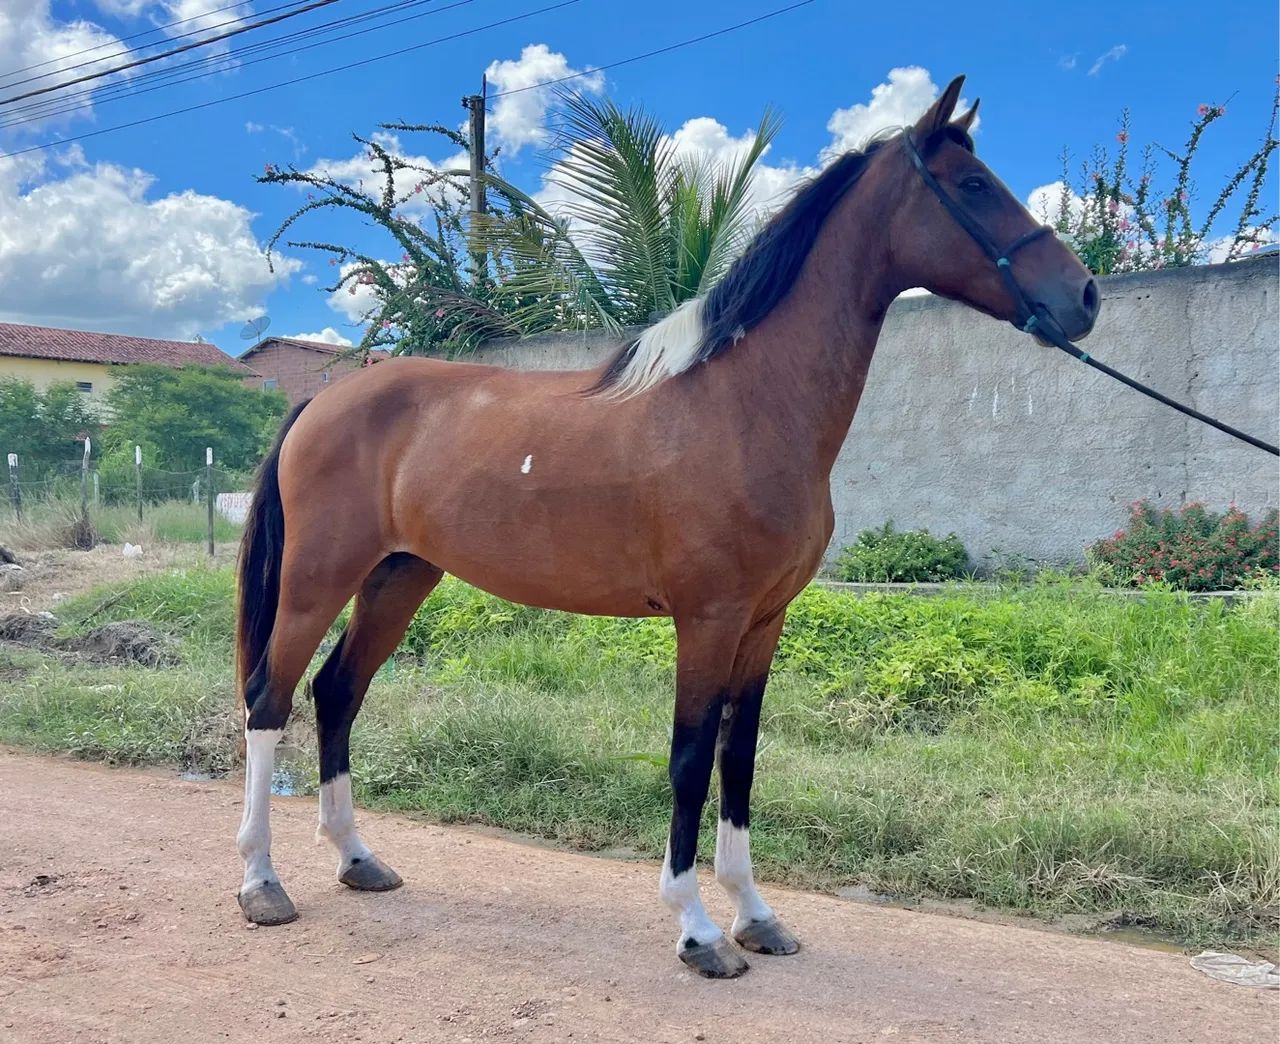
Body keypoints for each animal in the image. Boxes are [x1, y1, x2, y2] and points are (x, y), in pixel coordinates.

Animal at [233, 76, 1100, 979]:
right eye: (974, 186)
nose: (1084, 297)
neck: (743, 406)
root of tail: (323, 400)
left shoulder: (764, 621)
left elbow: (738, 760)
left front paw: (756, 914)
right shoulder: (707, 619)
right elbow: (689, 761)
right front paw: (697, 929)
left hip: (399, 577)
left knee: (337, 693)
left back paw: (356, 859)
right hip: (317, 580)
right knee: (269, 699)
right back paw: (262, 882)